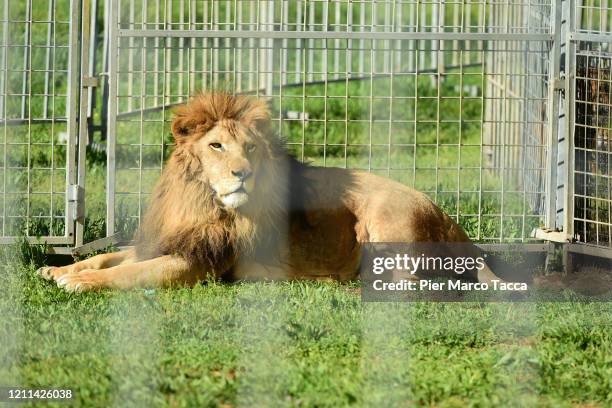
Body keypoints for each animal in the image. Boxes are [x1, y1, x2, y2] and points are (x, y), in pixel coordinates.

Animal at [37, 91, 502, 294]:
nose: (242, 173)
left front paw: (78, 282)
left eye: (251, 148)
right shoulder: (172, 239)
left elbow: (125, 273)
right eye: (216, 146)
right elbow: (106, 257)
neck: (201, 200)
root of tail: (450, 221)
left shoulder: (198, 261)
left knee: (419, 281)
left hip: (387, 215)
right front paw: (58, 270)